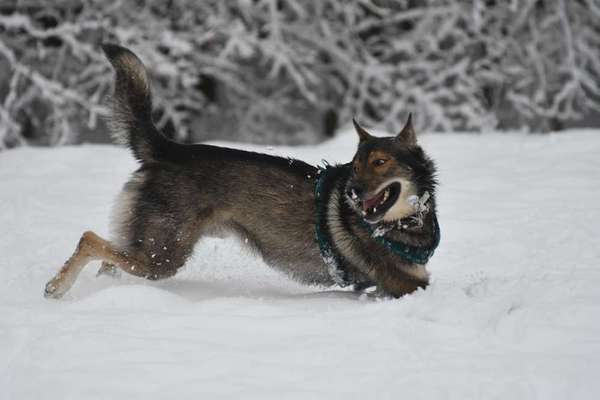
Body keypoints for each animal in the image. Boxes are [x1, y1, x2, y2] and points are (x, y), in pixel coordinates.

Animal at [41, 44, 436, 300]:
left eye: (380, 162)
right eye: (355, 165)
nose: (351, 192)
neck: (404, 224)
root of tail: (169, 148)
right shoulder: (404, 286)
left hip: (149, 245)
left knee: (109, 258)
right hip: (162, 255)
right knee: (89, 239)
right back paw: (56, 288)